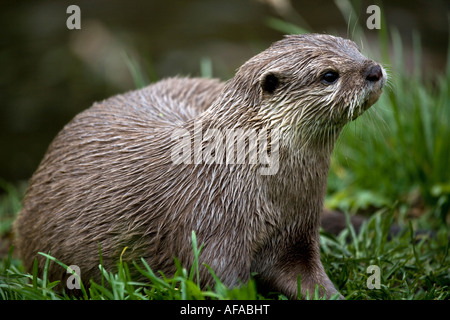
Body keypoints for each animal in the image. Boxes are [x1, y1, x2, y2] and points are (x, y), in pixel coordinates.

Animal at [14, 33, 386, 298]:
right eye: (329, 75)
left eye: (355, 47)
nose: (374, 70)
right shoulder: (210, 226)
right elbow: (220, 280)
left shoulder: (299, 232)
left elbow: (309, 279)